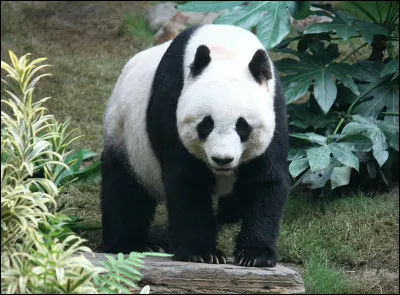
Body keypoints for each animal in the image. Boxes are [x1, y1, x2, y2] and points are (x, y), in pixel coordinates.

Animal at [99, 24, 288, 268]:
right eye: (206, 124)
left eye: (242, 126)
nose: (222, 159)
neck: (227, 49)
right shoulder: (172, 101)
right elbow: (188, 181)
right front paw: (203, 253)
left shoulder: (275, 108)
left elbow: (264, 180)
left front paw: (255, 255)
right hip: (125, 135)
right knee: (125, 189)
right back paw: (132, 244)